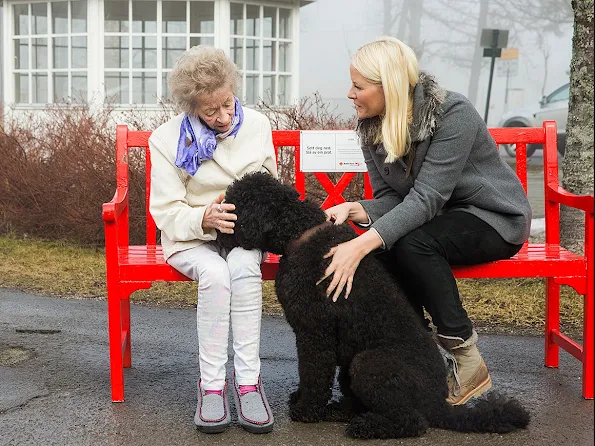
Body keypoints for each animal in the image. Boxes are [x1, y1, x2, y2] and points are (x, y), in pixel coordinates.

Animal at [218, 172, 532, 440]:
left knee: (412, 421)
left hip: (368, 364)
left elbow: (313, 373)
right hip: (350, 365)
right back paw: (342, 411)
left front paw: (306, 409)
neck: (302, 234)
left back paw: (365, 426)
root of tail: (438, 402)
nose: (216, 233)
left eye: (234, 208)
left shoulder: (314, 333)